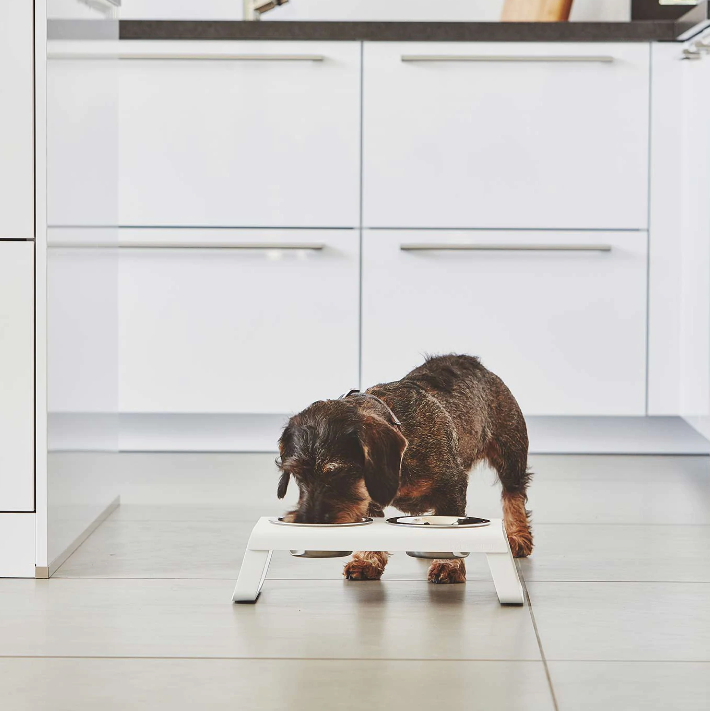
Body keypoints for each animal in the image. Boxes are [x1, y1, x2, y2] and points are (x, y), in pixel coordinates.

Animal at [278, 354, 536, 584]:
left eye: (337, 472)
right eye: (298, 476)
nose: (309, 523)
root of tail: (472, 361)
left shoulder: (453, 485)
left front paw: (448, 565)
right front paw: (367, 561)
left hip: (510, 455)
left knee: (514, 493)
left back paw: (517, 536)